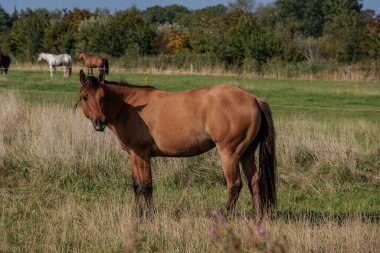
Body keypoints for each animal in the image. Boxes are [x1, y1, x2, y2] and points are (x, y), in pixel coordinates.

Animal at [78, 69, 278, 221]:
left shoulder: (142, 154)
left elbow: (146, 186)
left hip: (230, 153)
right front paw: (138, 215)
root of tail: (254, 99)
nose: (100, 122)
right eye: (85, 97)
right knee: (254, 182)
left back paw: (225, 217)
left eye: (102, 96)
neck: (130, 108)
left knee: (235, 185)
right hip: (246, 153)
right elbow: (136, 186)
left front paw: (149, 217)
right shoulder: (133, 155)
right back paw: (257, 218)